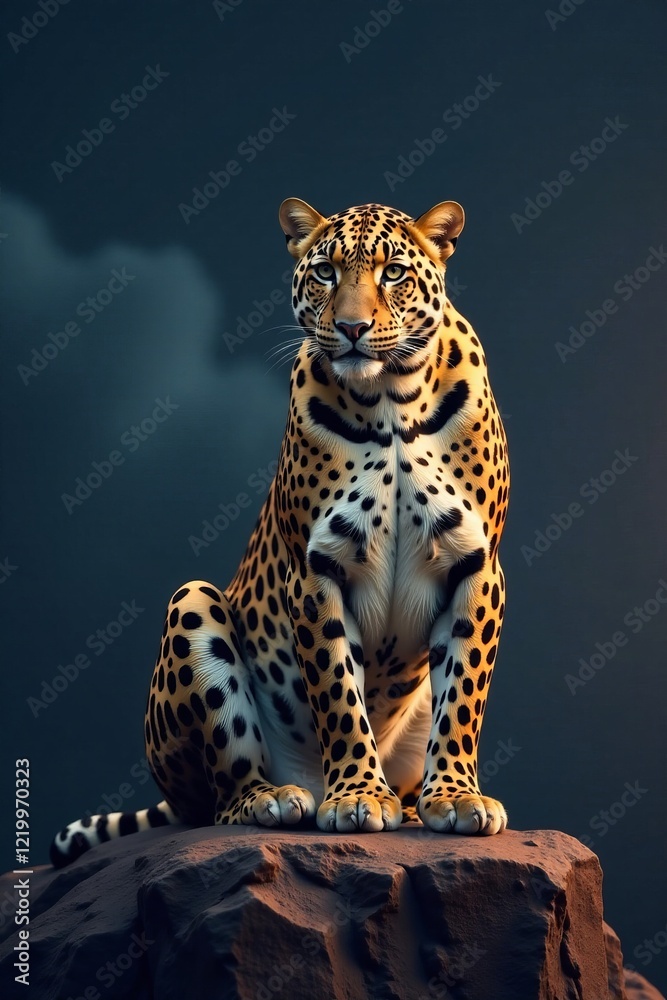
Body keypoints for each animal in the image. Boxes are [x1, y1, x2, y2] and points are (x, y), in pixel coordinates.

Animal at [50, 196, 510, 867]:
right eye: (324, 272)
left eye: (394, 273)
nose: (351, 327)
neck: (390, 398)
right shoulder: (316, 567)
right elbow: (338, 691)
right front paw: (356, 797)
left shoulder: (475, 564)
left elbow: (464, 695)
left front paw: (454, 796)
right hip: (193, 604)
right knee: (220, 798)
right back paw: (278, 799)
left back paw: (401, 801)